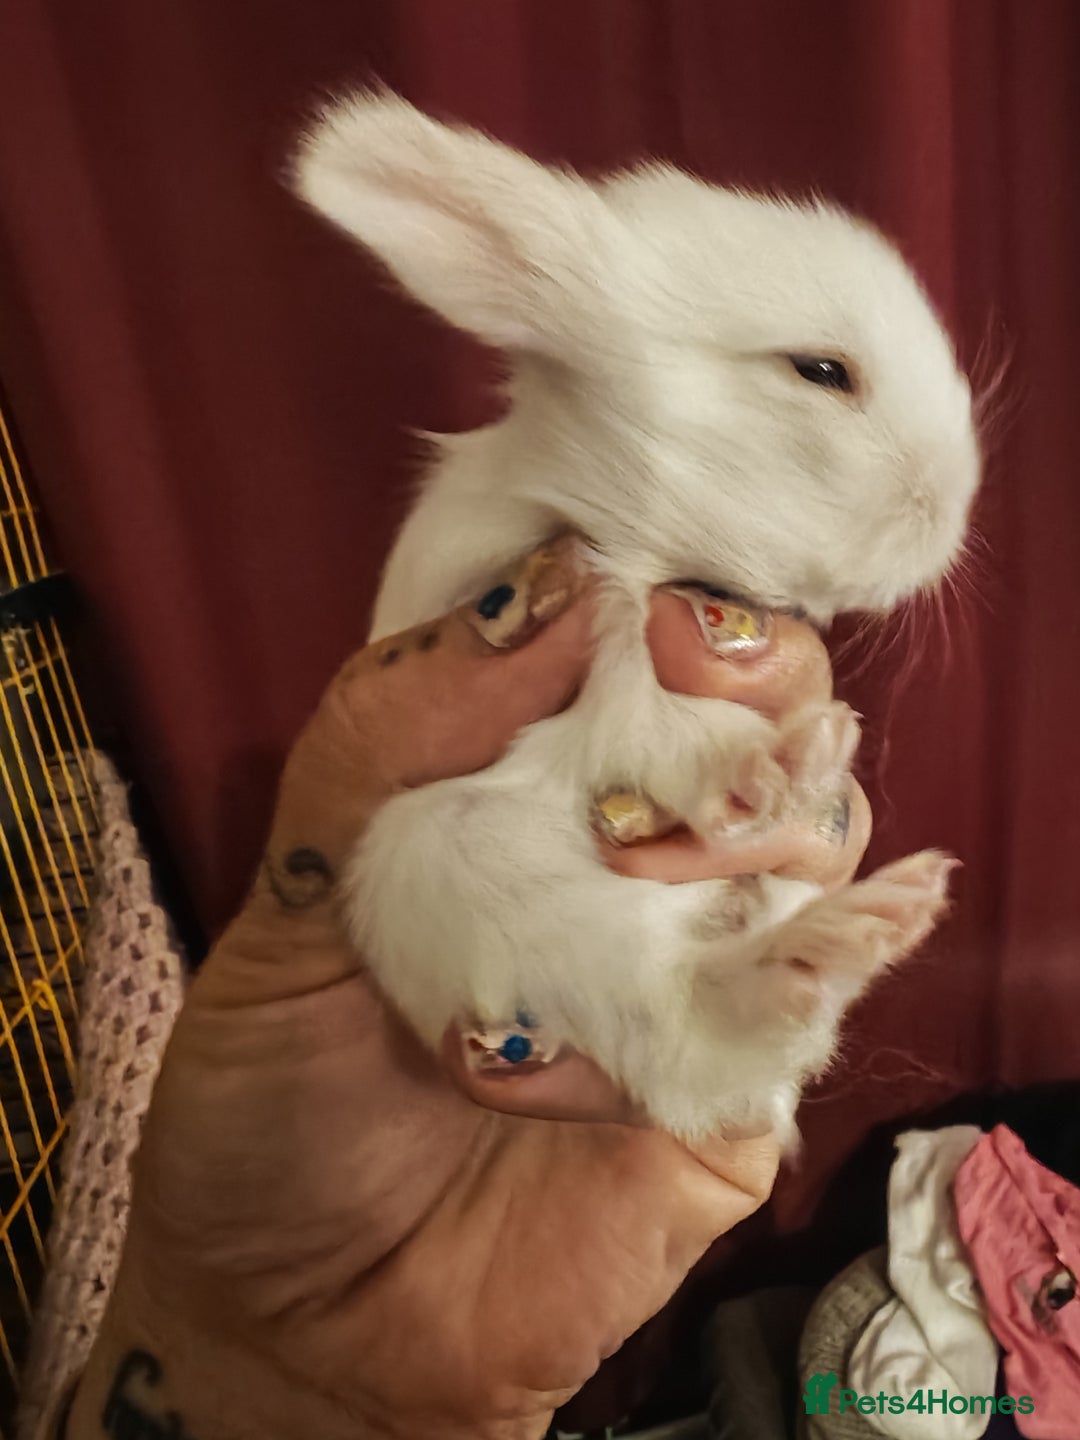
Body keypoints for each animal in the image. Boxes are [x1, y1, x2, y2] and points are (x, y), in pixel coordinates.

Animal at [291, 92, 979, 1144]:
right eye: (821, 370)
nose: (952, 508)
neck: (633, 532)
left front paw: (804, 763)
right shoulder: (589, 651)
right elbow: (652, 728)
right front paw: (777, 765)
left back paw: (865, 922)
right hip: (474, 871)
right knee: (687, 1016)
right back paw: (822, 931)